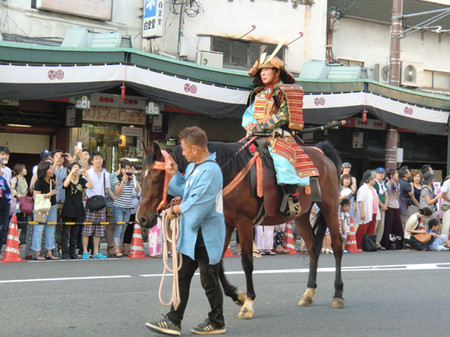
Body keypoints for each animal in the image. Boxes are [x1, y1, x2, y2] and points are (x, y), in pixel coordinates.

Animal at [138, 139, 344, 318]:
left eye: (156, 179)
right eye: (141, 177)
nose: (141, 218)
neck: (224, 172)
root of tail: (320, 152)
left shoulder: (243, 222)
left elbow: (246, 262)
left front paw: (248, 303)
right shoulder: (227, 223)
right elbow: (217, 263)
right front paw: (237, 296)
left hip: (330, 207)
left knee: (337, 245)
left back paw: (338, 294)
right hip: (301, 216)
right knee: (313, 247)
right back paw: (309, 293)